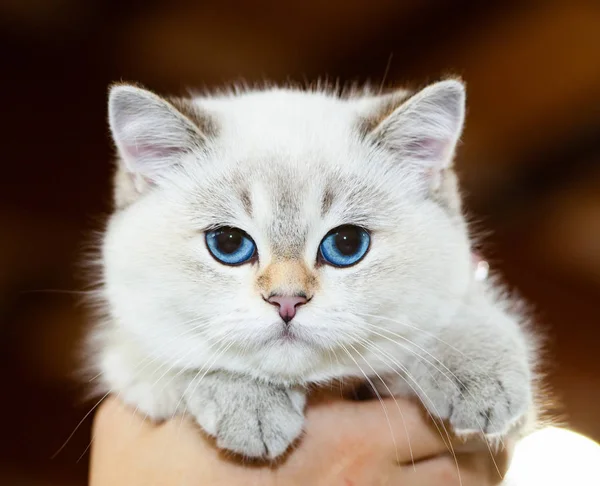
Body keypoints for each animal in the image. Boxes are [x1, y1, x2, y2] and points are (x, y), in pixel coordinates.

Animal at [89, 79, 540, 460]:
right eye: (229, 244)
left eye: (346, 244)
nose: (287, 301)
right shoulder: (127, 357)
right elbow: (190, 361)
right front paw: (252, 406)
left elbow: (457, 319)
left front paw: (482, 381)